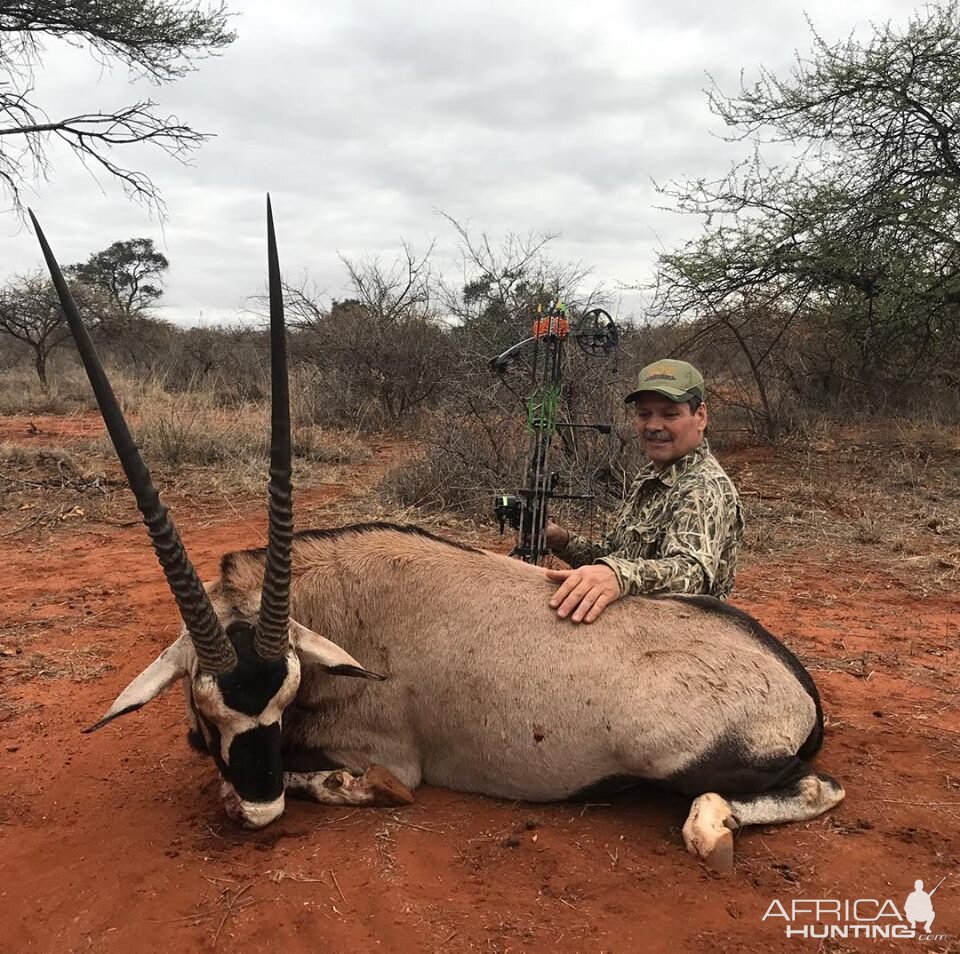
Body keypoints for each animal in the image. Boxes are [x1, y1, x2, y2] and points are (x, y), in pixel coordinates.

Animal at [31, 201, 840, 872]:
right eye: (206, 708)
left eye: (281, 699)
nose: (263, 809)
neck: (342, 605)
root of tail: (795, 682)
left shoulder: (383, 757)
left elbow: (365, 783)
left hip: (691, 763)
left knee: (803, 791)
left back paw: (715, 829)